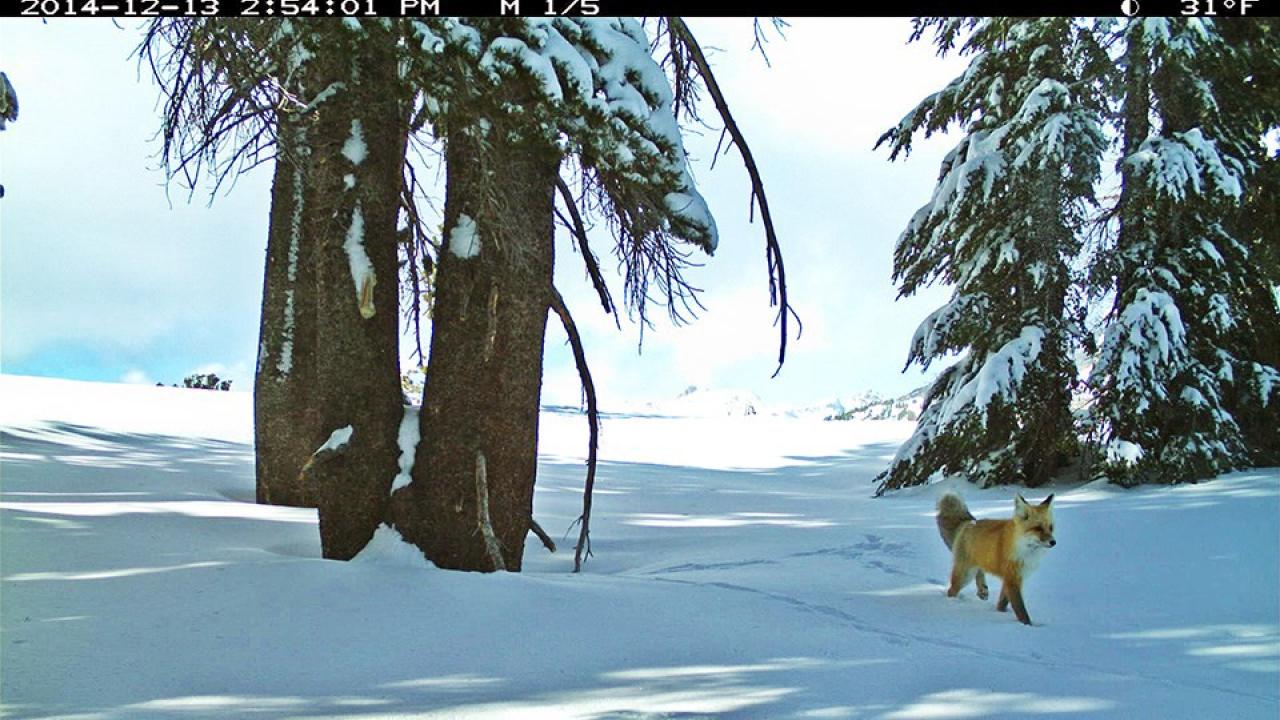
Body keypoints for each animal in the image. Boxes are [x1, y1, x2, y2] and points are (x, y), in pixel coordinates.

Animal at [936, 491, 1054, 622]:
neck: (1024, 551)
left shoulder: (1014, 578)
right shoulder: (1012, 579)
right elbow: (1021, 611)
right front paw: (1027, 624)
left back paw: (982, 590)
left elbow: (1002, 603)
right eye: (1038, 528)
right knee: (951, 590)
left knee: (979, 571)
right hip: (965, 575)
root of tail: (968, 523)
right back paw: (952, 603)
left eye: (1051, 528)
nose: (1053, 542)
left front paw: (1000, 613)